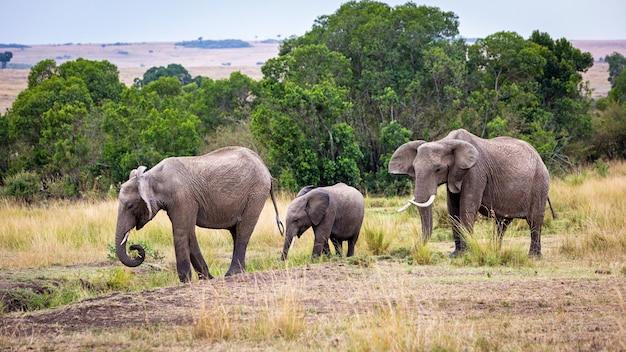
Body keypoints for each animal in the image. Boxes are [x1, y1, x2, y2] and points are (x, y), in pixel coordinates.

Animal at [114, 146, 282, 284]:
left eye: (130, 206)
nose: (134, 248)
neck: (152, 176)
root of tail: (265, 168)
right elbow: (189, 234)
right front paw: (207, 278)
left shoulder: (182, 198)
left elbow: (181, 232)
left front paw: (185, 281)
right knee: (236, 231)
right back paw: (239, 272)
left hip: (256, 192)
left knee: (243, 231)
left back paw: (232, 274)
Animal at [388, 128, 552, 258]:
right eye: (414, 169)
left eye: (438, 169)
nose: (412, 250)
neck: (445, 142)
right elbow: (453, 210)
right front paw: (456, 255)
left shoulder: (475, 171)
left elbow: (467, 207)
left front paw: (467, 253)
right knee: (502, 223)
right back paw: (495, 251)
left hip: (540, 184)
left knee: (535, 220)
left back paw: (533, 257)